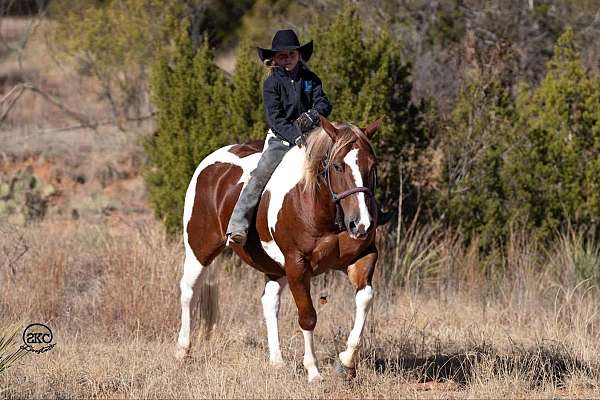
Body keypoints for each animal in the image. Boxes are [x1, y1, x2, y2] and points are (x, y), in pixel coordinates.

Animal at [176, 115, 380, 382]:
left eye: (372, 166)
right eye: (337, 166)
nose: (361, 224)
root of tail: (209, 163)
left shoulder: (362, 258)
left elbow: (365, 298)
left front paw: (345, 363)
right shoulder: (297, 265)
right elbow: (308, 317)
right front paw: (313, 372)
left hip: (274, 267)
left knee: (269, 302)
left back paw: (277, 361)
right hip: (199, 249)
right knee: (189, 291)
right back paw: (183, 350)